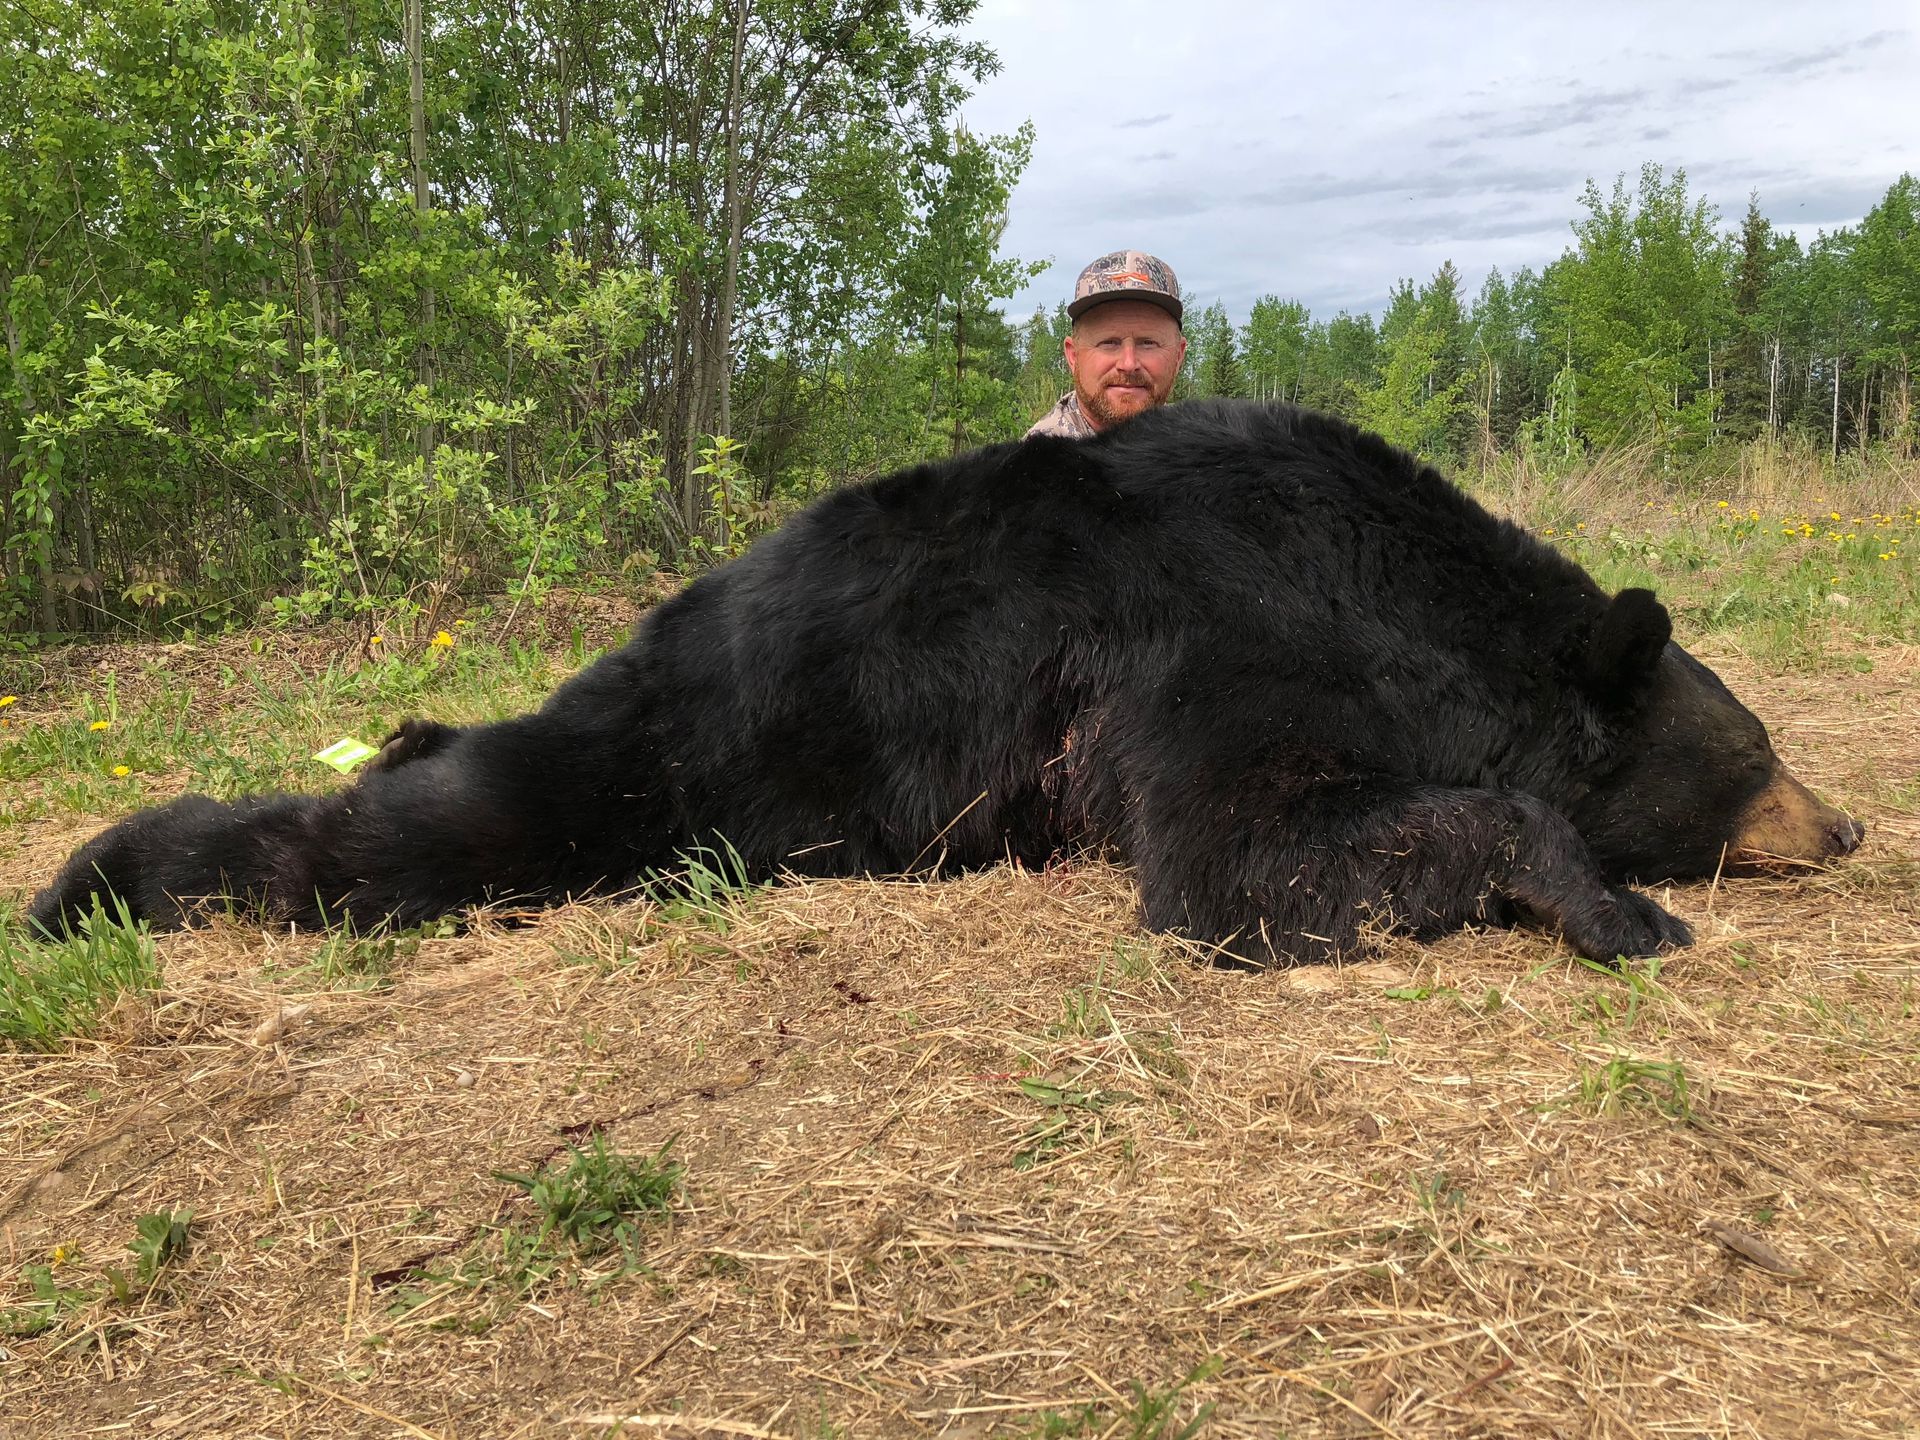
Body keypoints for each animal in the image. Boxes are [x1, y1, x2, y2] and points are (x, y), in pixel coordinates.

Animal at [28, 400, 1862, 966]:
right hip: (645, 772)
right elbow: (1241, 860)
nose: (1844, 827)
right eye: (1758, 746)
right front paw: (1621, 907)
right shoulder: (1211, 646)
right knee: (385, 837)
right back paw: (87, 881)